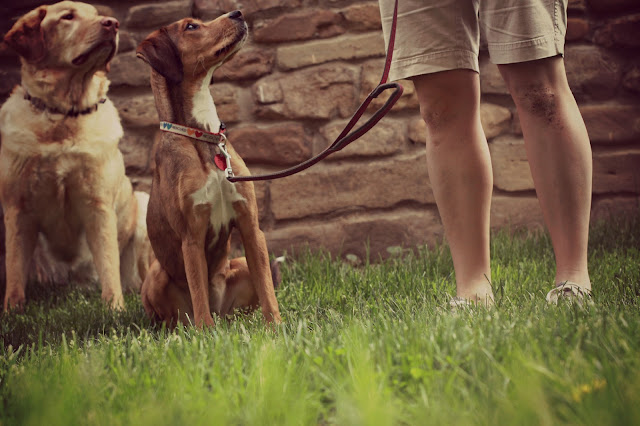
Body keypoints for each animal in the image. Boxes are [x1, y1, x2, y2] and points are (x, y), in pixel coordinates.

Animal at [0, 1, 152, 311]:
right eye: (68, 17)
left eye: (96, 14)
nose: (113, 24)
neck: (64, 114)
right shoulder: (16, 208)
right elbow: (14, 267)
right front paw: (11, 311)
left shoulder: (98, 204)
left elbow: (108, 264)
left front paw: (115, 309)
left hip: (143, 206)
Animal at [136, 11, 282, 327]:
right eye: (191, 26)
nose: (238, 12)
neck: (203, 134)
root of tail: (221, 309)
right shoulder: (191, 236)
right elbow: (198, 292)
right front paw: (206, 334)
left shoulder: (251, 225)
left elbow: (267, 288)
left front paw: (277, 326)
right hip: (156, 275)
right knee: (183, 312)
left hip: (239, 265)